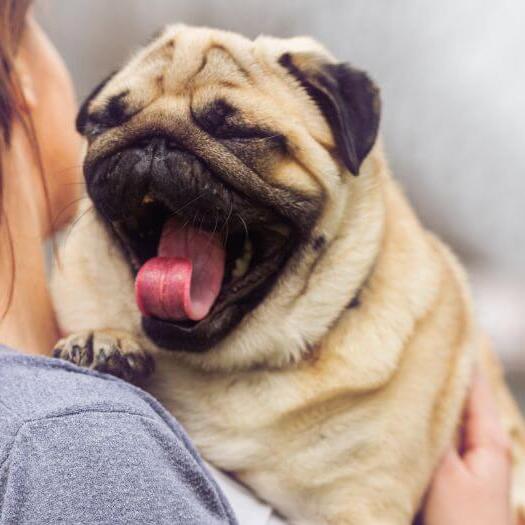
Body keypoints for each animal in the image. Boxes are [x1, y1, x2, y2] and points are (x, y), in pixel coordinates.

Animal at [51, 24, 524, 524]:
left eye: (237, 130)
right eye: (107, 121)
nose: (155, 140)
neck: (227, 368)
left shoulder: (360, 500)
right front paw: (104, 341)